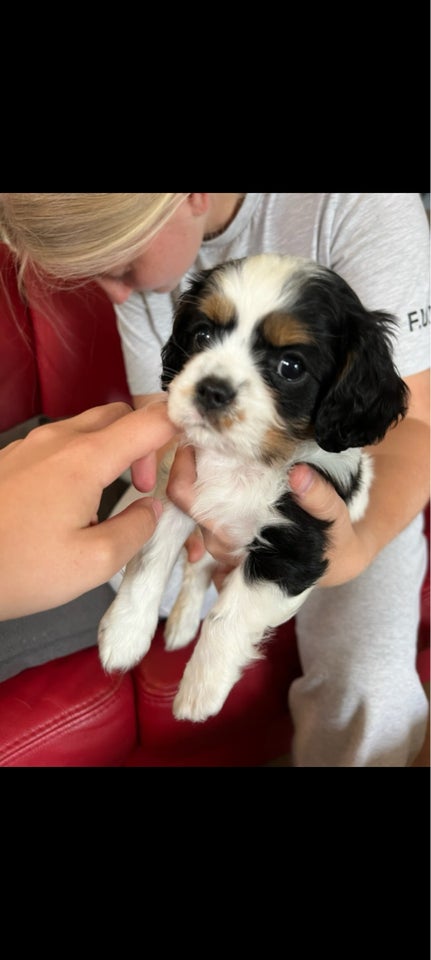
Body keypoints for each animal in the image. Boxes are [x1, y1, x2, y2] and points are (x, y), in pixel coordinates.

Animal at [98, 255, 408, 720]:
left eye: (291, 367)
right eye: (203, 335)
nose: (212, 389)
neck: (244, 459)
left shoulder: (293, 548)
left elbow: (228, 617)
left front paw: (200, 691)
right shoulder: (178, 490)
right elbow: (150, 562)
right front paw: (124, 634)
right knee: (196, 568)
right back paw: (181, 623)